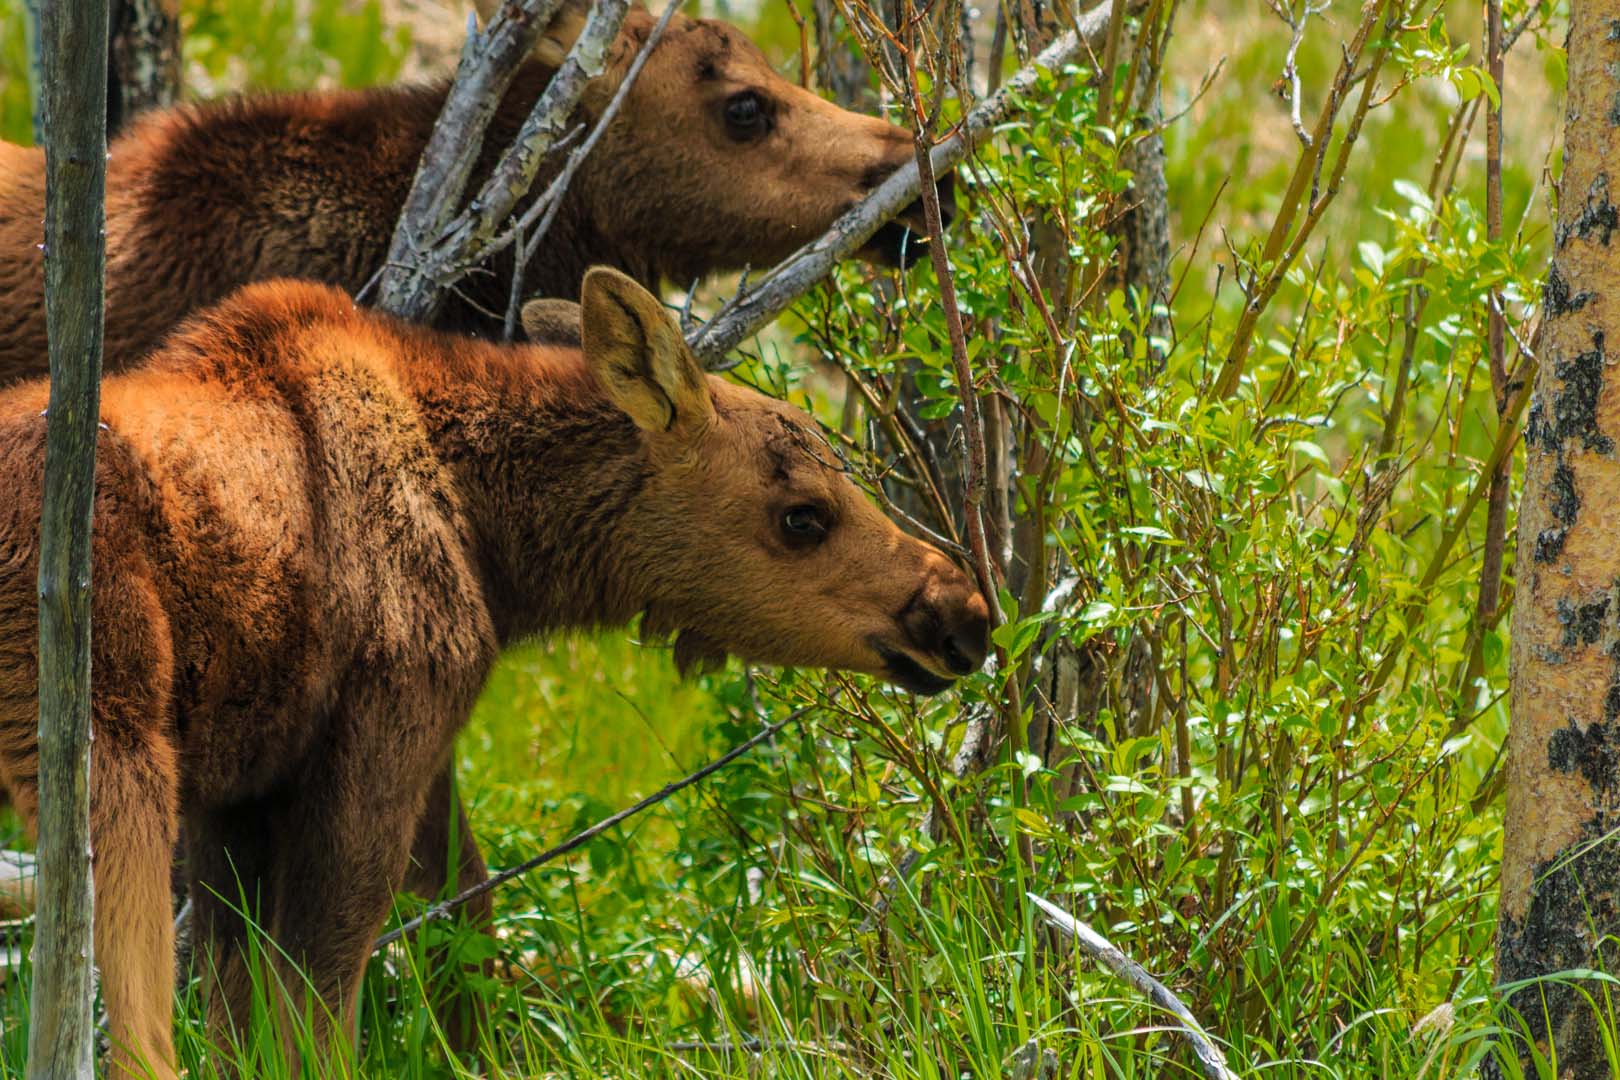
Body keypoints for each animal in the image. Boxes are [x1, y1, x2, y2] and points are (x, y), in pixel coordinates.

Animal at [0, 268, 984, 1075]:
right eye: (802, 516)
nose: (963, 614)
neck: (497, 544)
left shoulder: (252, 786)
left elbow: (433, 932)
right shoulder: (390, 717)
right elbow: (317, 1000)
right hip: (109, 746)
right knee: (130, 1038)